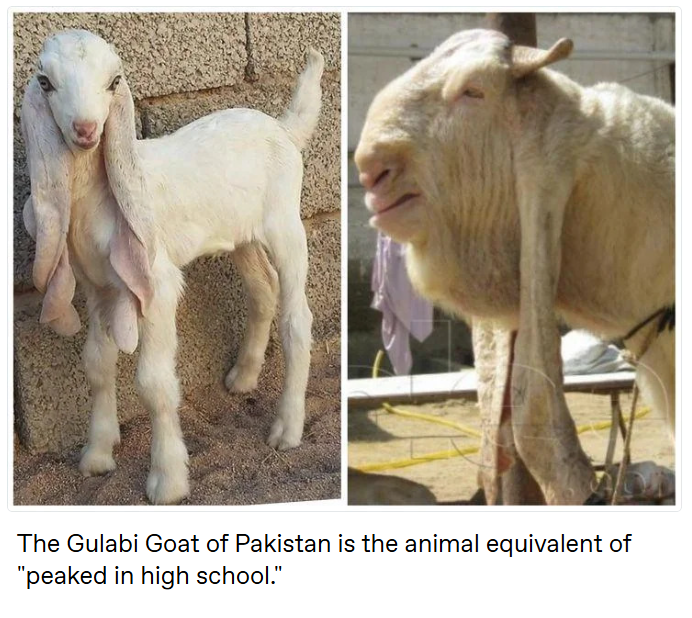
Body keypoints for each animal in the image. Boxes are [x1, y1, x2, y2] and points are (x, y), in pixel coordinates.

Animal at [21, 29, 324, 504]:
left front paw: (167, 480)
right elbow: (96, 364)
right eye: (45, 82)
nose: (86, 130)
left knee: (297, 318)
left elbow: (154, 383)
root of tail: (283, 128)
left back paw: (286, 429)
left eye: (115, 81)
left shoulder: (157, 283)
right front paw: (97, 455)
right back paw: (243, 377)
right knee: (263, 289)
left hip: (285, 223)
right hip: (240, 233)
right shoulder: (97, 285)